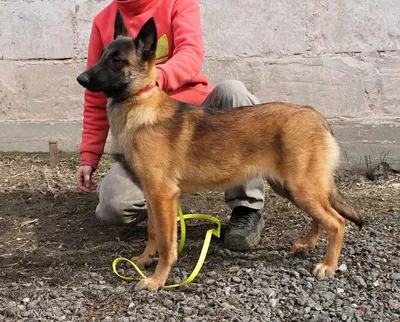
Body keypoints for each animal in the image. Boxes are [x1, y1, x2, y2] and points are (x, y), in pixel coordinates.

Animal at [76, 11, 364, 290]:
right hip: (293, 188)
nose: (81, 78)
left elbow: (167, 245)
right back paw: (308, 244)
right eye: (101, 55)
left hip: (300, 187)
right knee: (321, 217)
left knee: (337, 222)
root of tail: (318, 117)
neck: (138, 102)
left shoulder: (162, 195)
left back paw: (328, 264)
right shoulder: (153, 196)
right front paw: (145, 260)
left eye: (117, 60)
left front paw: (158, 280)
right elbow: (153, 233)